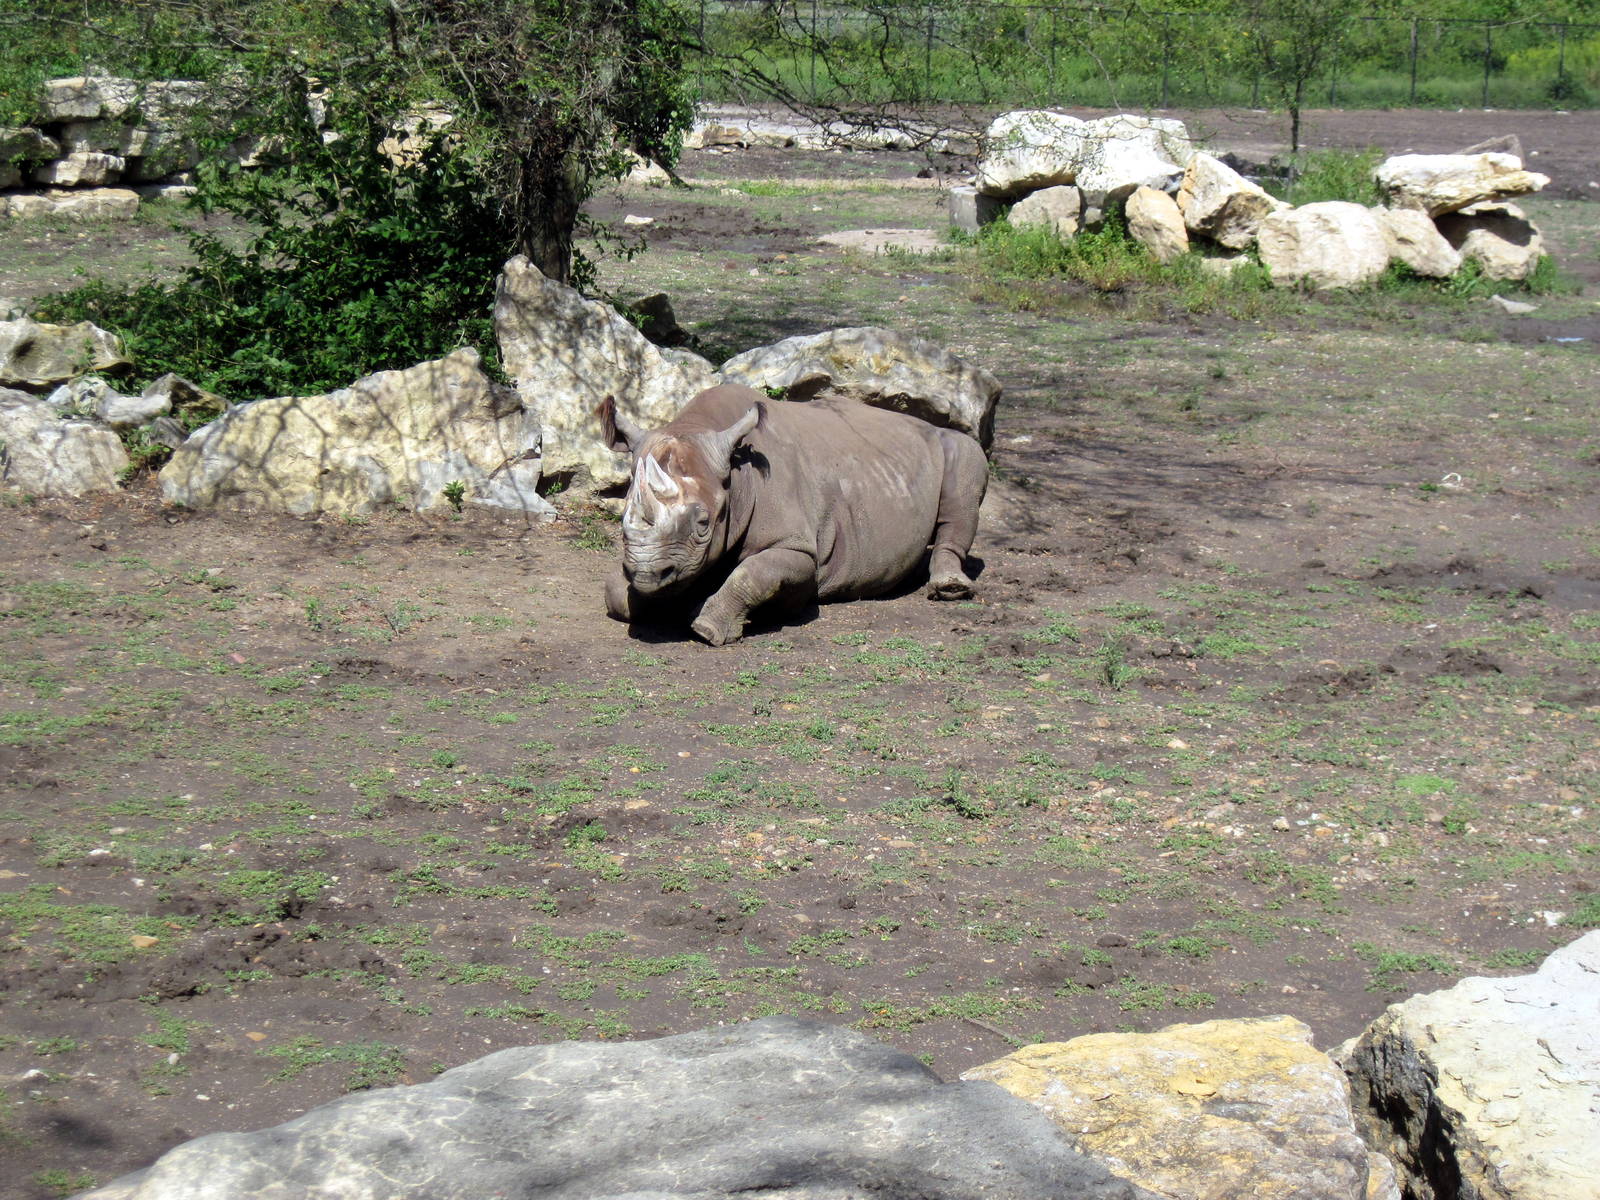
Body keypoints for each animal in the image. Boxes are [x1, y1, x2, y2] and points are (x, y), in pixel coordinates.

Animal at [599, 384, 988, 645]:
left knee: (965, 471)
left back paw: (950, 588)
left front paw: (707, 627)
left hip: (953, 445)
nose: (650, 574)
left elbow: (754, 574)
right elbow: (615, 591)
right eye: (622, 521)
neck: (737, 480)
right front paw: (653, 598)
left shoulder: (798, 548)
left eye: (703, 525)